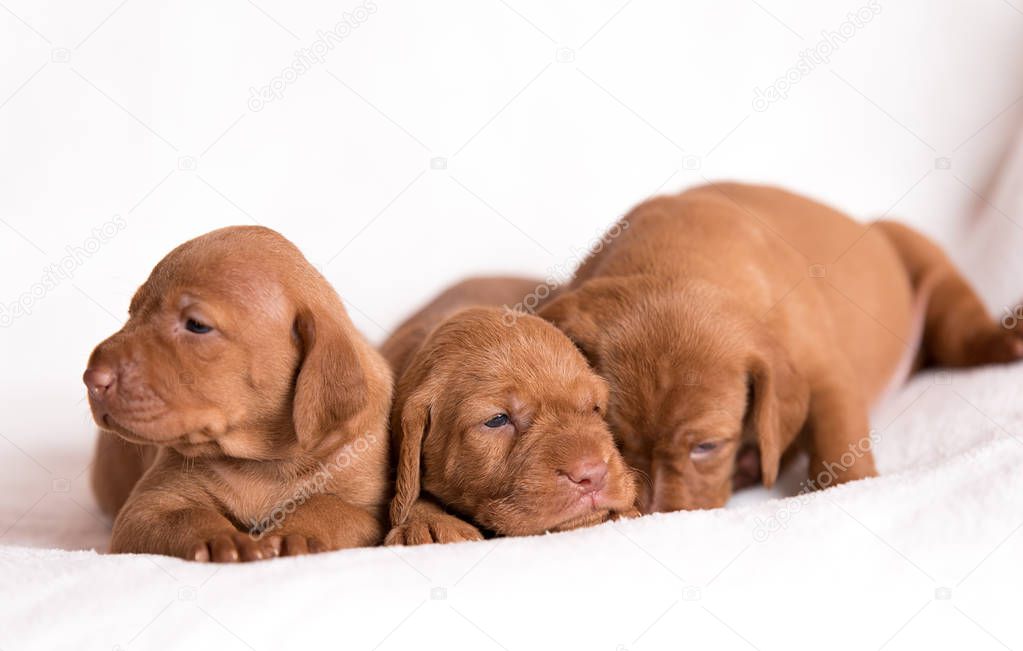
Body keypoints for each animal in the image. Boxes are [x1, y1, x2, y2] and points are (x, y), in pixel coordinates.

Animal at [83, 226, 390, 560]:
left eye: (197, 325)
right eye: (132, 312)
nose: (92, 379)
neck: (264, 462)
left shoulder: (369, 510)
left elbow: (330, 508)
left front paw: (296, 533)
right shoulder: (147, 507)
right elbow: (186, 516)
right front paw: (220, 539)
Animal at [540, 182, 1018, 513]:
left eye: (707, 447)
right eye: (611, 439)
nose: (655, 513)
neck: (671, 261)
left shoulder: (823, 372)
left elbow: (840, 443)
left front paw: (852, 487)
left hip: (923, 258)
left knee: (962, 330)